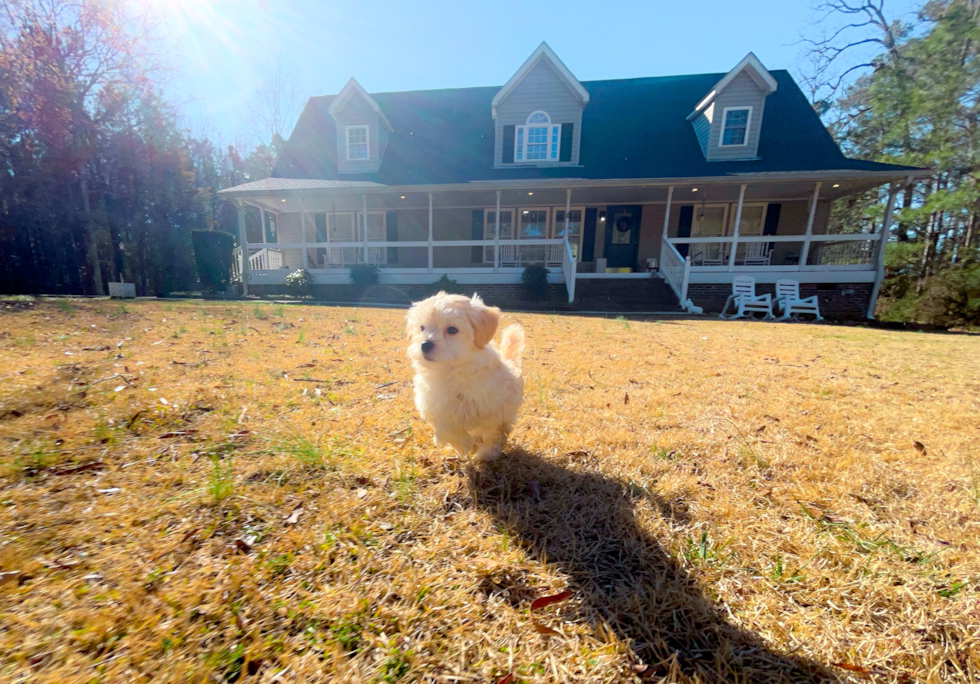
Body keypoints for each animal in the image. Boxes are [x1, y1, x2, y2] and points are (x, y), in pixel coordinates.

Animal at [404, 292, 524, 462]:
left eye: (452, 330)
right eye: (422, 328)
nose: (425, 344)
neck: (451, 371)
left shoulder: (492, 412)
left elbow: (490, 434)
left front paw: (487, 454)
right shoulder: (435, 405)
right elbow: (445, 429)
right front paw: (463, 445)